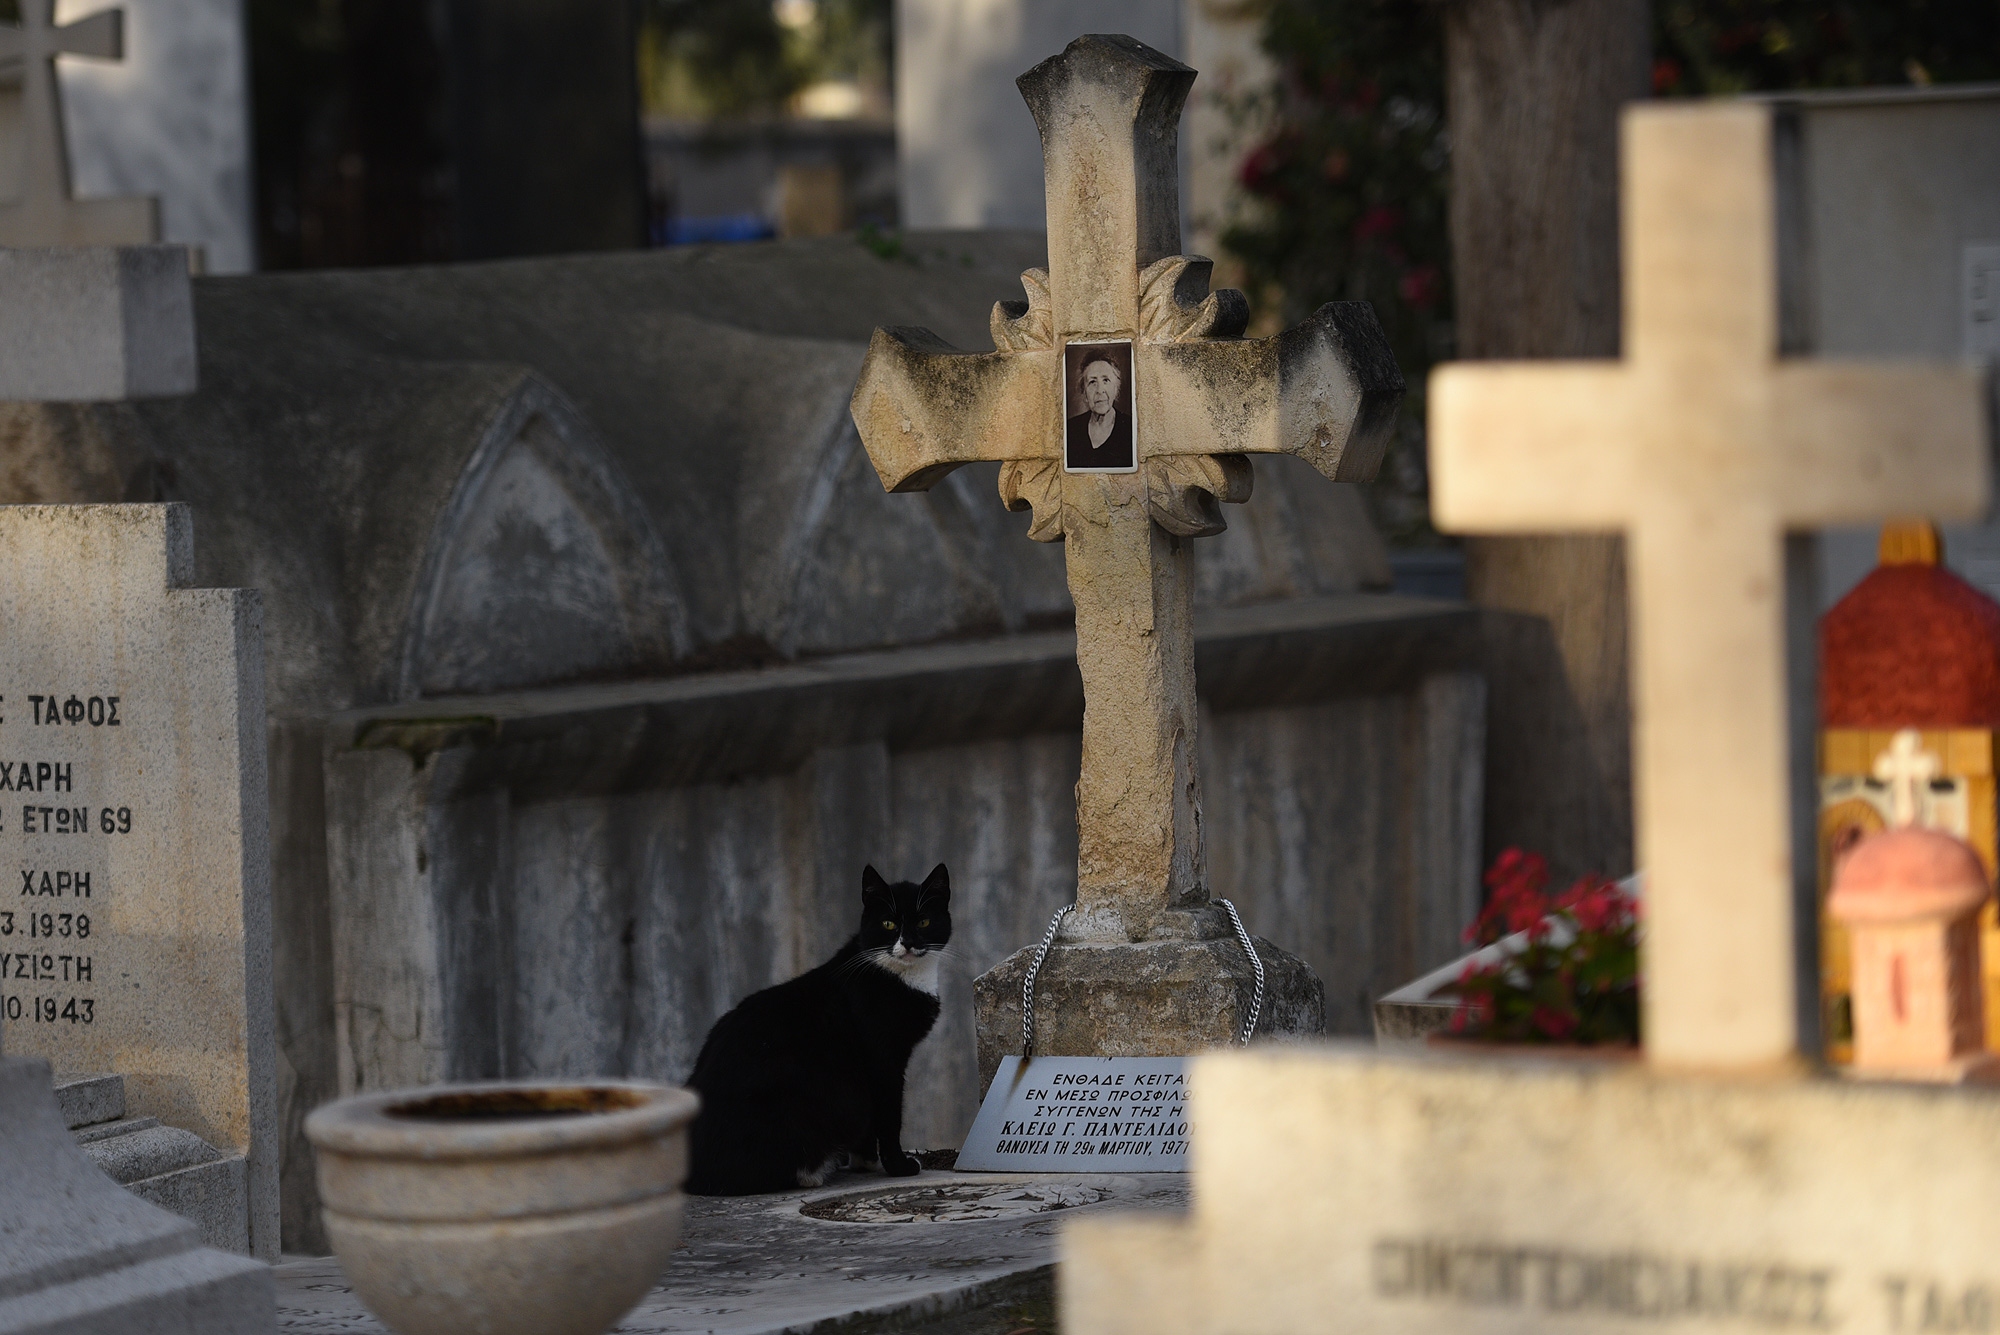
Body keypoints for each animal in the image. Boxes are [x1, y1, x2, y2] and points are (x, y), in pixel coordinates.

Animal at [688, 867, 952, 1199]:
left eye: (924, 922)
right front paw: (898, 1166)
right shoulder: (883, 1061)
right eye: (888, 924)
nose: (906, 943)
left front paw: (866, 1161)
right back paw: (812, 1172)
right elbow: (889, 1115)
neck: (902, 976)